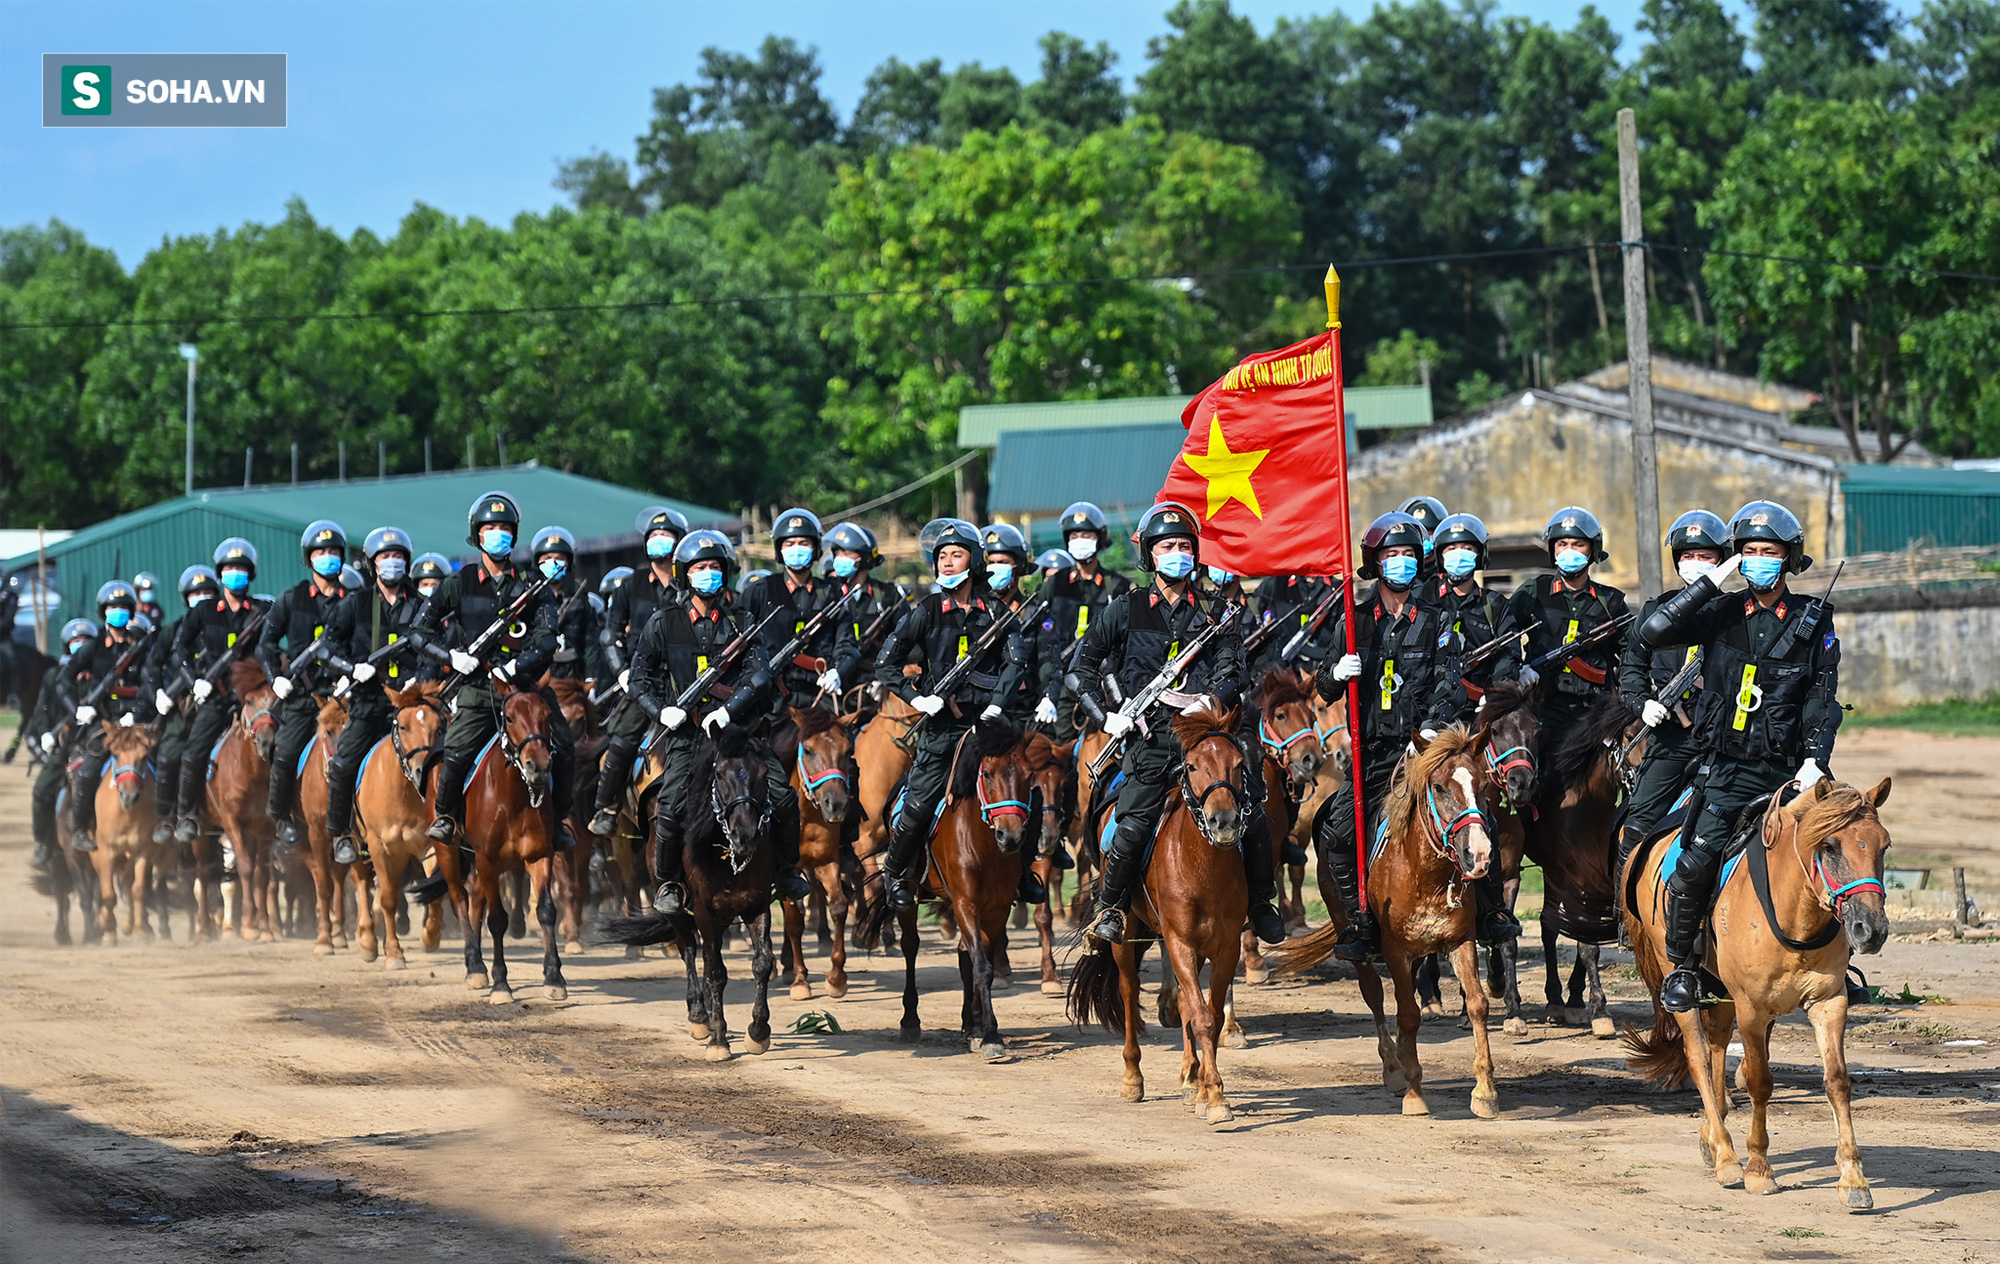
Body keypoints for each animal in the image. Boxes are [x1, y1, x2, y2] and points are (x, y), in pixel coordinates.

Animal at [780, 700, 860, 996]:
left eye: (847, 751)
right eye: (809, 750)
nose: (835, 805)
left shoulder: (827, 862)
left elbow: (838, 905)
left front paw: (837, 977)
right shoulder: (786, 870)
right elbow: (794, 920)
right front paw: (800, 979)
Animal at [1072, 700, 1240, 1128]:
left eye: (1237, 762)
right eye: (1192, 766)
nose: (1224, 822)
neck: (1204, 867)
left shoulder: (1225, 947)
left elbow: (1208, 1015)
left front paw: (1204, 1089)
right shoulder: (1180, 942)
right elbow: (1202, 1017)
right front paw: (1216, 1098)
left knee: (1182, 1001)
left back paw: (1190, 1077)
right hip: (1129, 931)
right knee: (1130, 990)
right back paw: (1133, 1077)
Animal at [1280, 724, 1504, 1120]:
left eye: (1482, 785)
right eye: (1439, 787)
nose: (1478, 854)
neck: (1426, 874)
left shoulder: (1459, 941)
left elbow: (1477, 1004)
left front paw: (1485, 1091)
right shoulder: (1395, 950)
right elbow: (1408, 1013)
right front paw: (1413, 1091)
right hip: (1354, 935)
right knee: (1374, 993)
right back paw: (1393, 1066)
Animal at [1624, 780, 1888, 1208]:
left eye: (1884, 845)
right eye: (1830, 846)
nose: (1871, 929)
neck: (1795, 914)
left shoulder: (1828, 1002)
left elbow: (1836, 1081)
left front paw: (1853, 1178)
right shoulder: (1752, 1008)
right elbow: (1759, 1081)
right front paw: (1759, 1168)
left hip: (1723, 994)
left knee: (1717, 1048)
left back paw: (1713, 1135)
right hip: (1678, 975)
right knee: (1698, 1056)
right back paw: (1727, 1157)